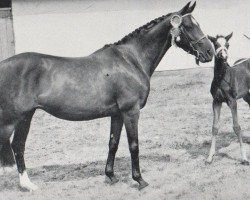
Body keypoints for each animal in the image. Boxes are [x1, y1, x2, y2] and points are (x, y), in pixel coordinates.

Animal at [207, 32, 250, 164]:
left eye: (227, 45)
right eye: (216, 44)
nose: (224, 56)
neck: (222, 78)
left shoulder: (232, 101)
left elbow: (236, 127)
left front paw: (244, 157)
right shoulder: (216, 101)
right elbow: (215, 127)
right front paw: (210, 157)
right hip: (246, 96)